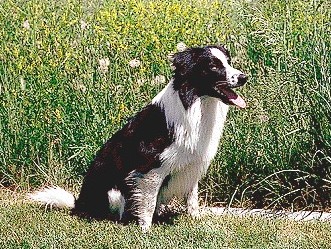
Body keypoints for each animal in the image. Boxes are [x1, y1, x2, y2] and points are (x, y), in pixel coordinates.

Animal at [29, 44, 248, 231]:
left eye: (228, 61)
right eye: (213, 65)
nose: (244, 77)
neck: (196, 102)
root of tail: (79, 203)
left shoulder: (191, 164)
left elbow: (192, 199)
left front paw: (196, 221)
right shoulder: (151, 169)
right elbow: (148, 203)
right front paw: (145, 230)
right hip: (114, 193)